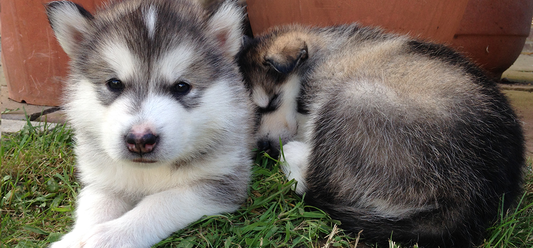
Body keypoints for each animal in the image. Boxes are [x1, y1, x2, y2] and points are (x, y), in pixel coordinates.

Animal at [45, 0, 251, 247]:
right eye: (114, 83)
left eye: (181, 87)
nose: (140, 139)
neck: (146, 172)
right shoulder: (103, 179)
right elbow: (94, 206)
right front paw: (76, 238)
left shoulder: (225, 180)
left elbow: (162, 201)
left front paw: (113, 234)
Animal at [239, 24, 524, 247]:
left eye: (269, 103)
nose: (263, 147)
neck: (326, 49)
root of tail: (472, 200)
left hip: (354, 98)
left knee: (319, 181)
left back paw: (292, 156)